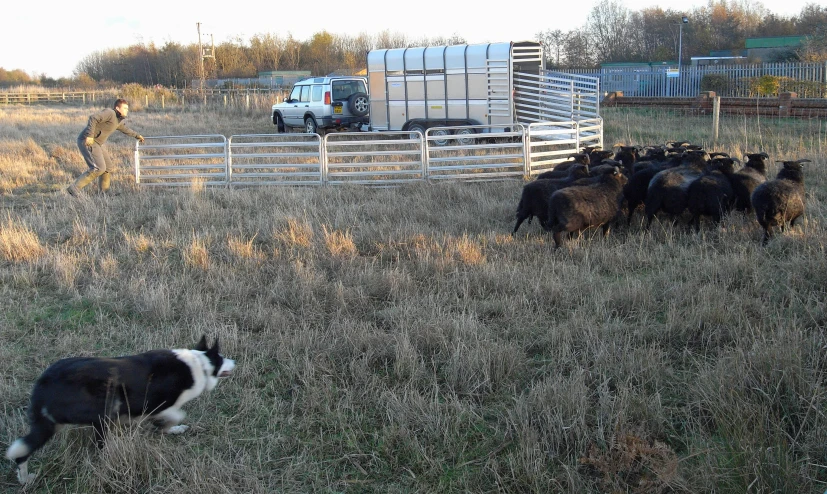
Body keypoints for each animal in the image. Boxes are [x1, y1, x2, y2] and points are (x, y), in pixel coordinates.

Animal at [6, 334, 234, 484]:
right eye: (223, 358)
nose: (235, 362)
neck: (200, 363)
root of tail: (44, 384)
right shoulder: (157, 405)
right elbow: (176, 415)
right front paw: (166, 428)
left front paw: (171, 430)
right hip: (104, 407)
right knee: (97, 444)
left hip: (52, 424)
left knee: (22, 452)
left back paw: (25, 479)